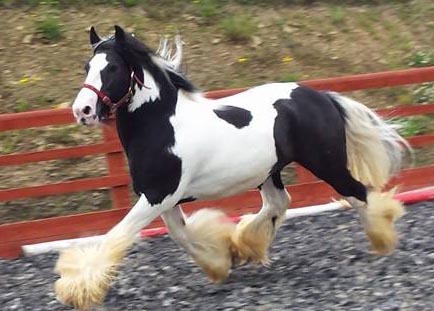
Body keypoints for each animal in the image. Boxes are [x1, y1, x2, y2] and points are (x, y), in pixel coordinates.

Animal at [54, 25, 406, 310]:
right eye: (87, 66)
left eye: (112, 67)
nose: (82, 111)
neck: (161, 125)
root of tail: (321, 97)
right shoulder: (164, 199)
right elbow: (181, 235)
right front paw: (222, 261)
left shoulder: (158, 195)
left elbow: (117, 235)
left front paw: (76, 289)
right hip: (268, 173)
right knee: (279, 203)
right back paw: (247, 244)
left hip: (327, 163)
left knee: (358, 192)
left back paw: (382, 240)